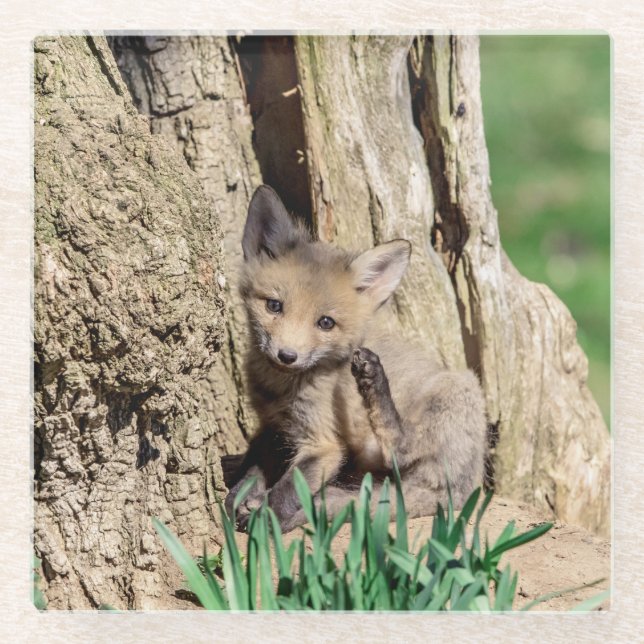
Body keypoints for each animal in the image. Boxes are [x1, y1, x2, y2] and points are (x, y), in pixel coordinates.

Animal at [223, 185, 488, 533]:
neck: (282, 390)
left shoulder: (324, 444)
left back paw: (374, 380)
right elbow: (253, 465)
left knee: (401, 448)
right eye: (274, 306)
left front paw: (266, 519)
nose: (287, 355)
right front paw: (241, 496)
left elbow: (288, 489)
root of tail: (464, 489)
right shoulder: (274, 425)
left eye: (325, 323)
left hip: (459, 390)